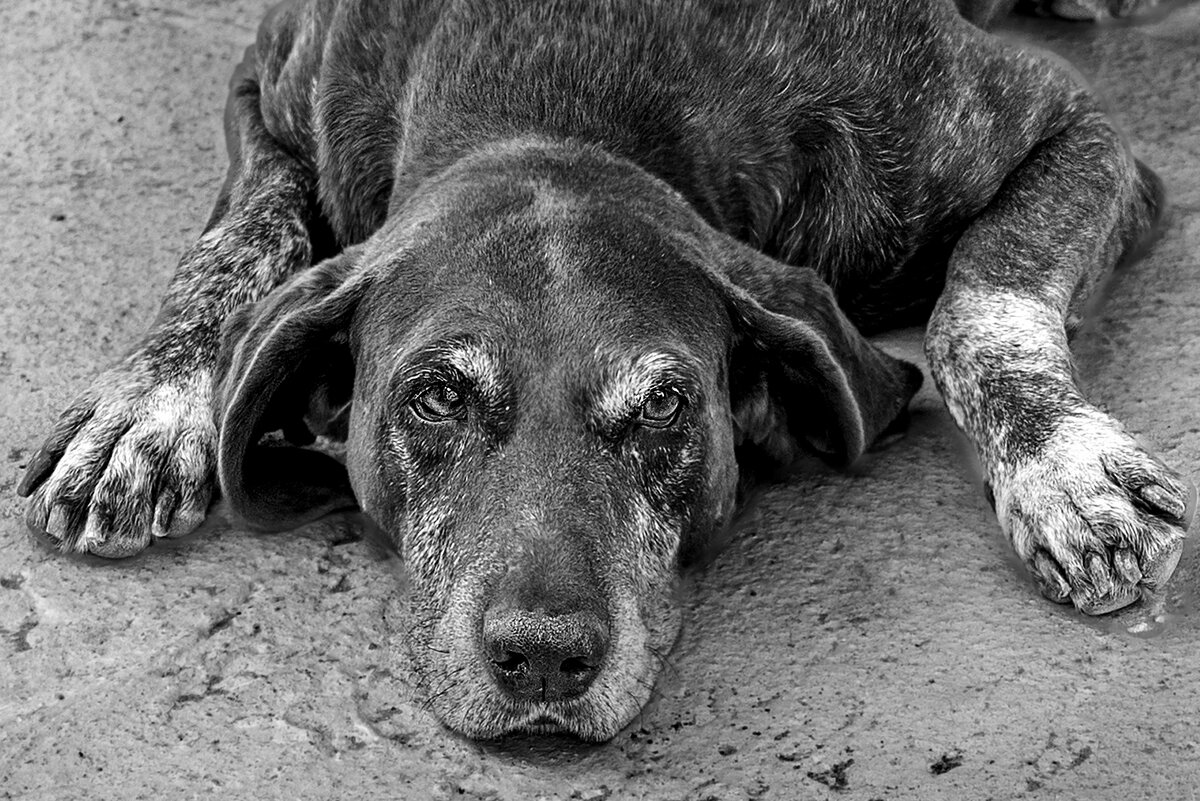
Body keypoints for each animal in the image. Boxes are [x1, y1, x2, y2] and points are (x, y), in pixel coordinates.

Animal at [16, 0, 1190, 743]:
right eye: (435, 396)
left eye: (666, 403)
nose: (542, 659)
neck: (556, 83)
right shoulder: (266, 88)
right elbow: (235, 242)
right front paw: (145, 408)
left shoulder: (1073, 129)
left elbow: (980, 294)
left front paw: (1062, 468)